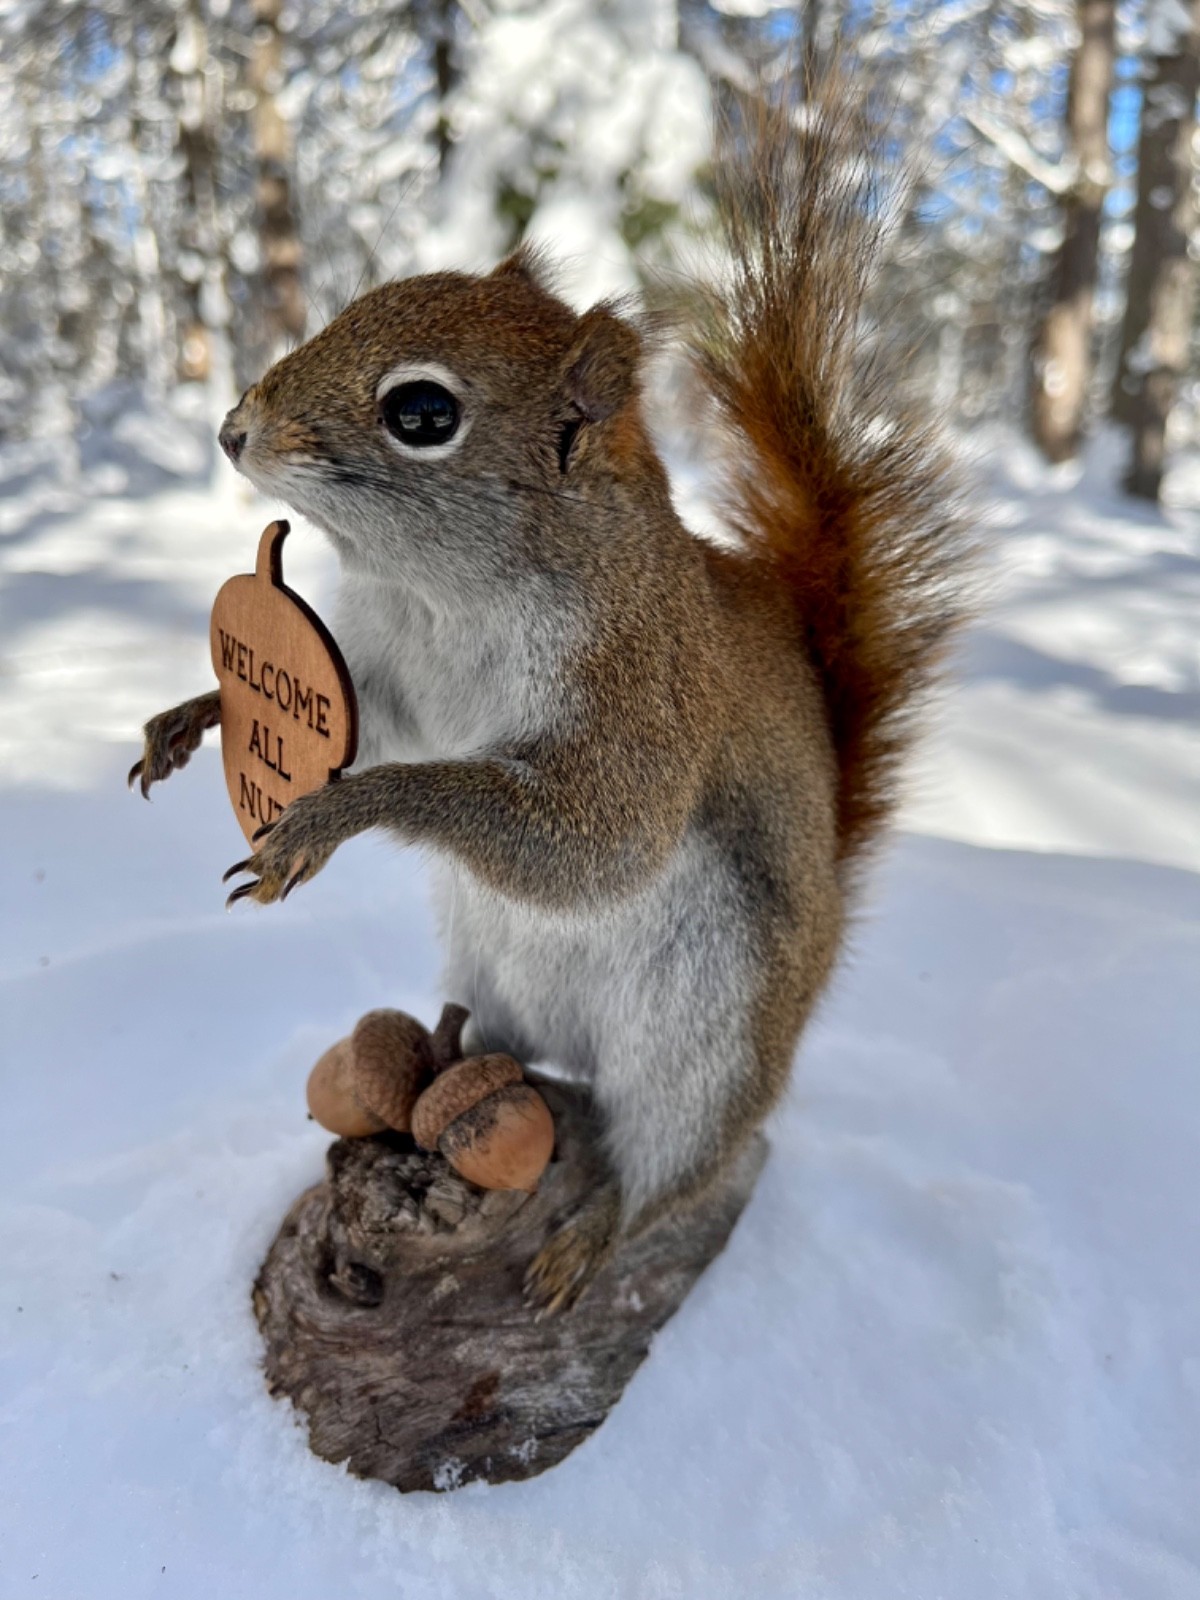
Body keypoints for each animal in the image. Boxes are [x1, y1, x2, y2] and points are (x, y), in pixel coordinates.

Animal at [131, 80, 970, 1313]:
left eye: (421, 414)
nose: (233, 430)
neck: (448, 597)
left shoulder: (645, 690)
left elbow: (591, 837)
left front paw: (334, 817)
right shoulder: (383, 679)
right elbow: (376, 729)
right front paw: (194, 714)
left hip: (706, 1052)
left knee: (673, 1166)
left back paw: (589, 1237)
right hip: (498, 974)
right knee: (499, 1042)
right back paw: (438, 1056)